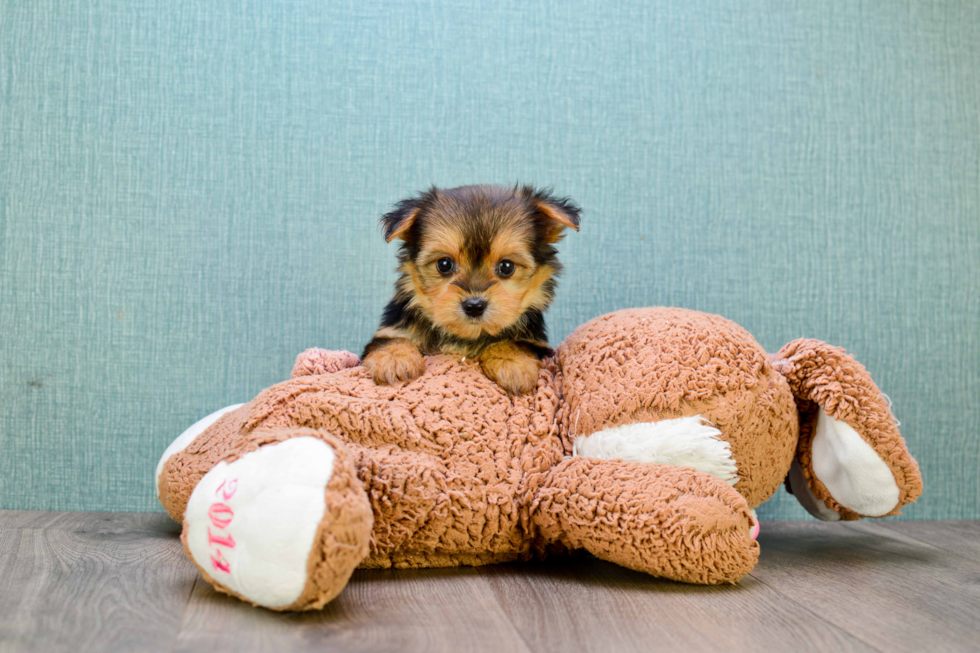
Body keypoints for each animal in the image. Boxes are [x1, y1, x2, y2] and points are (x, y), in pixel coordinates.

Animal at [362, 182, 580, 392]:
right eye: (444, 264)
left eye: (507, 266)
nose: (474, 306)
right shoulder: (391, 330)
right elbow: (388, 340)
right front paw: (395, 359)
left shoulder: (539, 345)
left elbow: (518, 343)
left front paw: (512, 362)